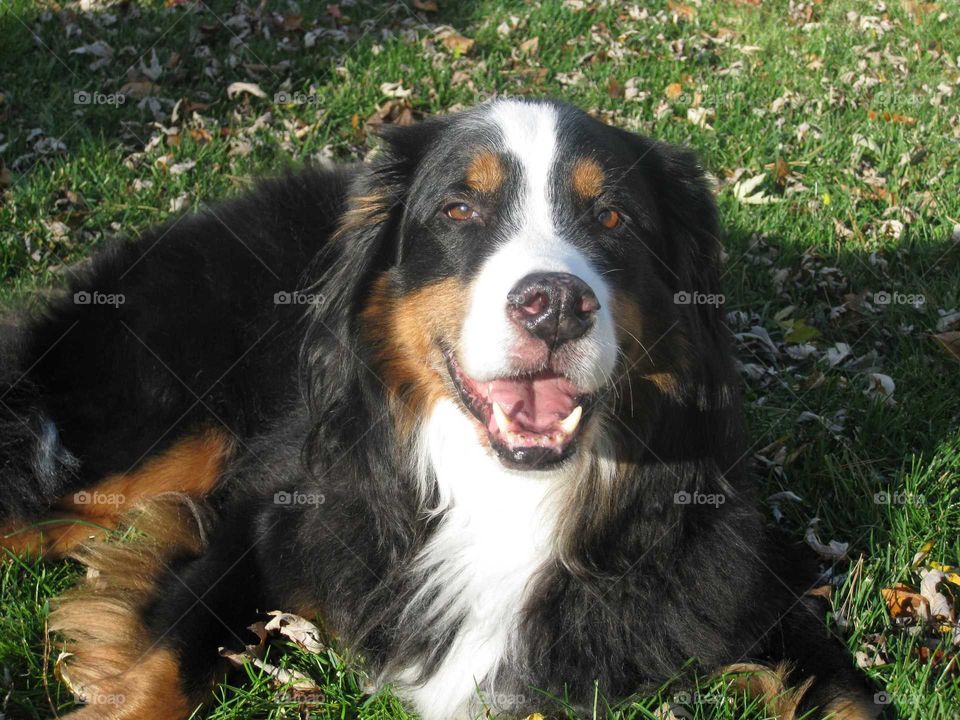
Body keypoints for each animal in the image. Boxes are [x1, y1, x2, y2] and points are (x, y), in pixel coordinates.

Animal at [0, 98, 880, 716]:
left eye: (612, 217)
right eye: (460, 210)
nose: (554, 306)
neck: (506, 488)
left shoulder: (740, 584)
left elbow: (848, 695)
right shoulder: (263, 512)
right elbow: (164, 664)